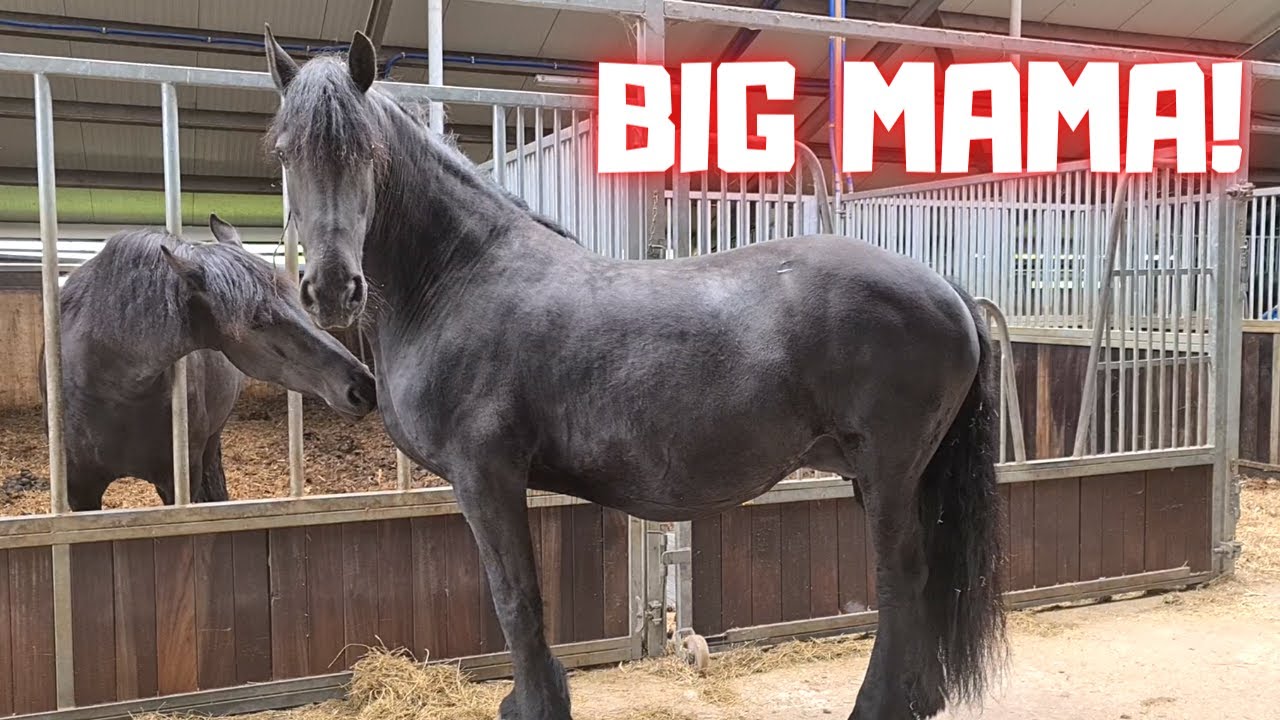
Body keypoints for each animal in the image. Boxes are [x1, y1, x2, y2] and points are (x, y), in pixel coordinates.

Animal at [262, 29, 1007, 720]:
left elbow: (515, 597)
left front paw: (536, 705)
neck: (459, 277)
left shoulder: (486, 474)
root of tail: (948, 291)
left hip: (887, 472)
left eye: (367, 152)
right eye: (285, 152)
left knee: (901, 578)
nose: (332, 288)